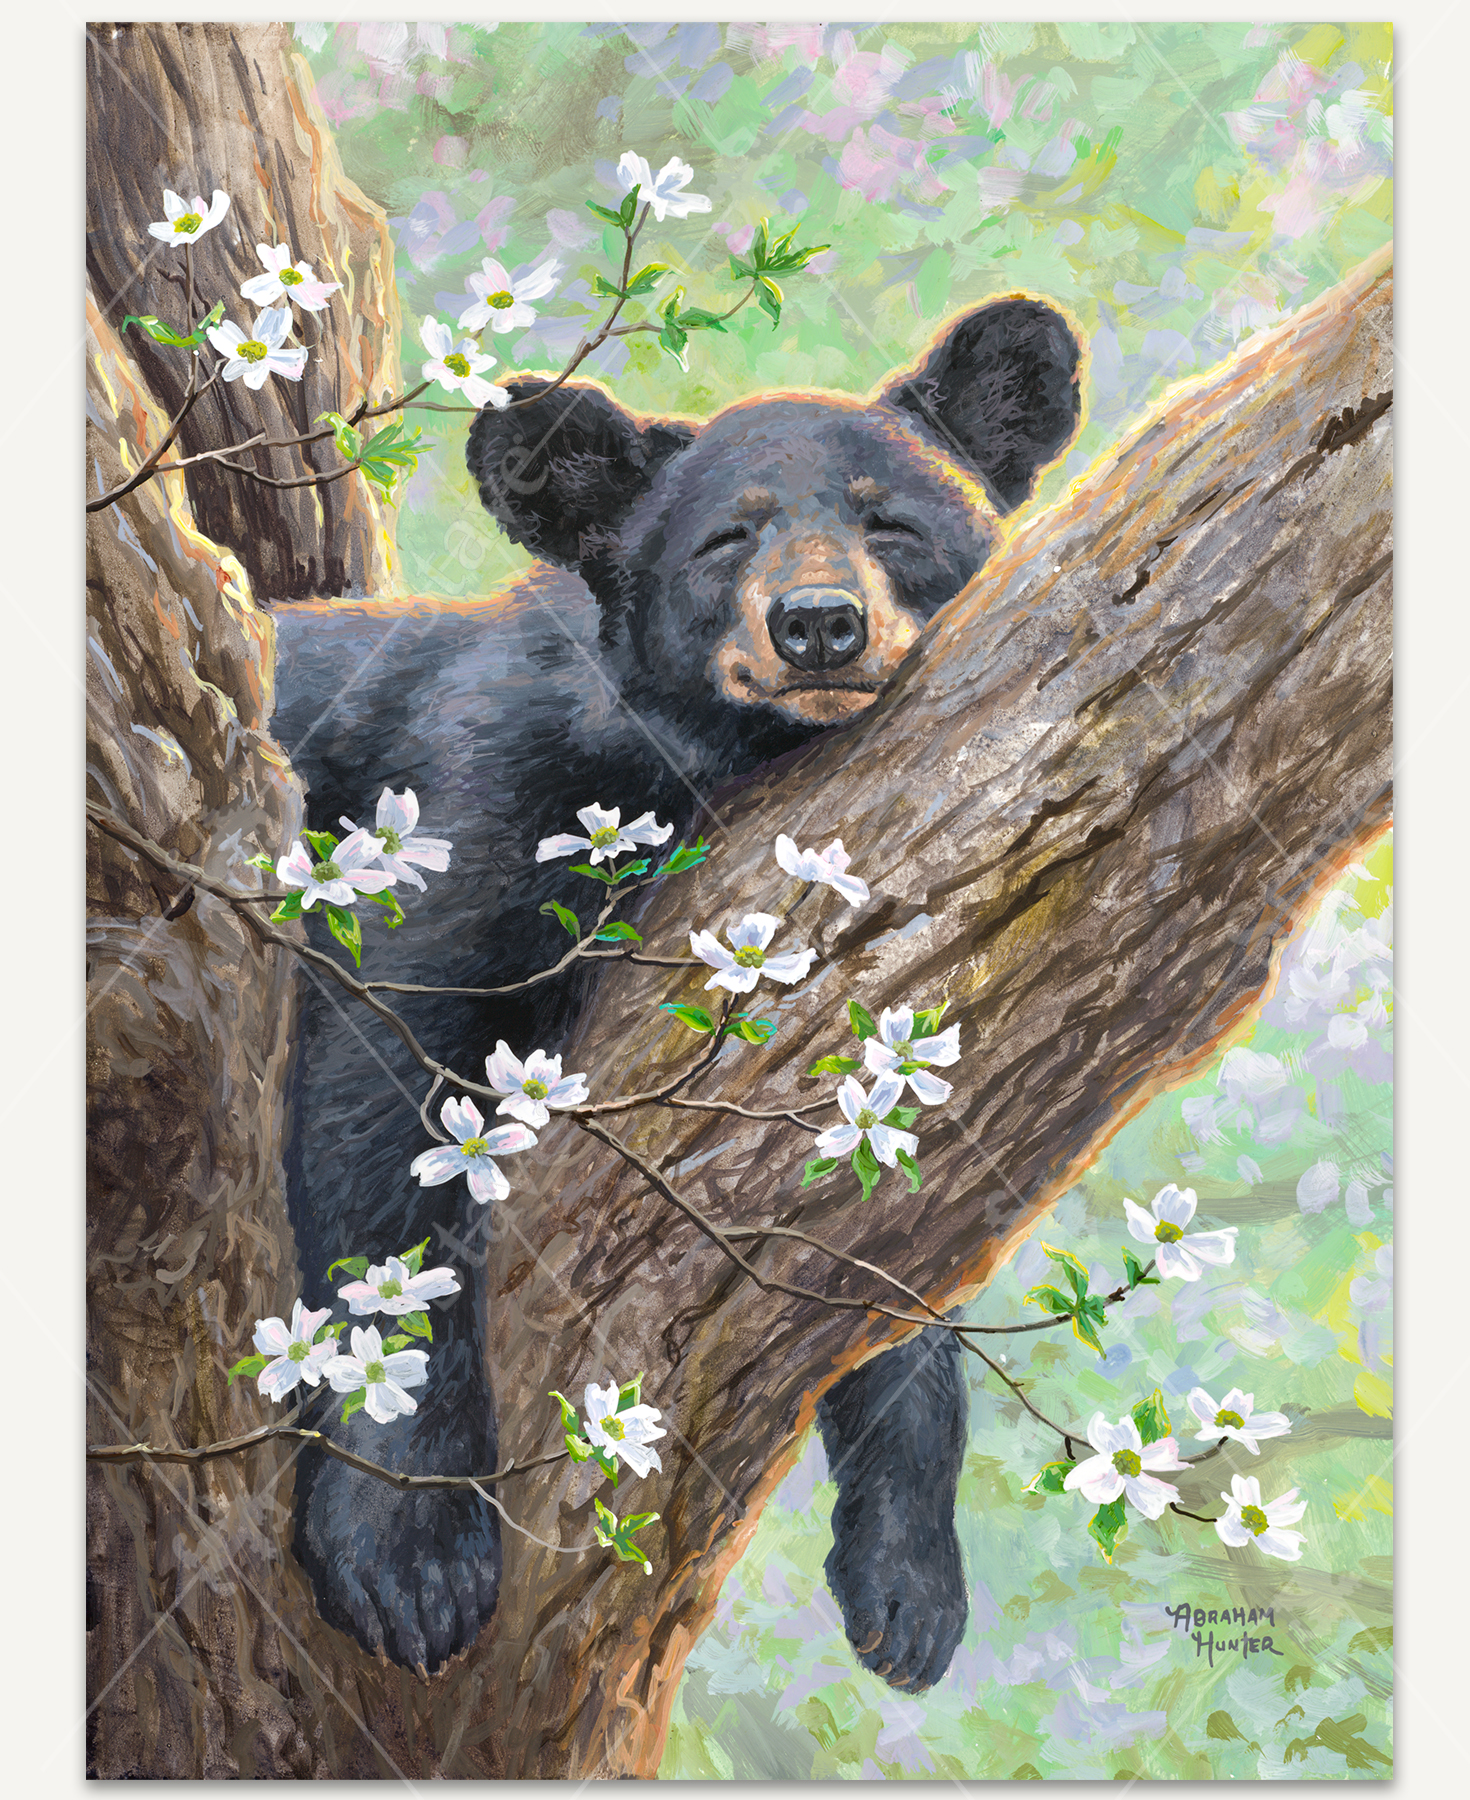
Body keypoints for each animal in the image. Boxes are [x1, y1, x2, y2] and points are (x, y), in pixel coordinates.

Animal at [268, 295, 1082, 1682]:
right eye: (724, 537)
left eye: (894, 522)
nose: (819, 622)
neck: (701, 761)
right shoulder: (472, 799)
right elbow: (380, 1097)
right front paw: (409, 1553)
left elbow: (897, 1220)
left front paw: (909, 1579)